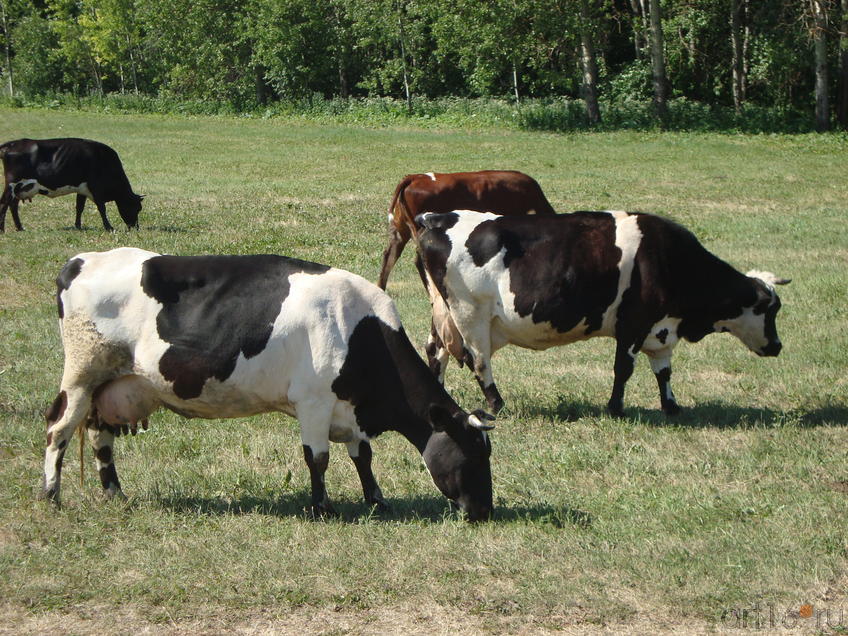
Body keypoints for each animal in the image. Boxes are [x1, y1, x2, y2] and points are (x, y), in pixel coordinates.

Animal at [0, 138, 142, 232]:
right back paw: (2, 230)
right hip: (12, 184)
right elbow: (102, 208)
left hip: (20, 188)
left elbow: (79, 207)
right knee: (4, 203)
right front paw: (109, 227)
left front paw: (78, 226)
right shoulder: (96, 188)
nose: (136, 227)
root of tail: (13, 144)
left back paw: (20, 228)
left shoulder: (82, 189)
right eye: (137, 208)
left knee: (13, 205)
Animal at [44, 248, 496, 520]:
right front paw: (322, 508)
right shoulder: (313, 402)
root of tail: (81, 261)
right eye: (472, 454)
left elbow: (362, 456)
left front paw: (376, 500)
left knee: (101, 436)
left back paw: (114, 493)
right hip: (82, 373)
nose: (484, 511)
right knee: (57, 429)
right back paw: (50, 495)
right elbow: (318, 458)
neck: (359, 330)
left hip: (112, 385)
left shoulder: (349, 408)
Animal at [416, 210, 788, 418]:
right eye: (768, 309)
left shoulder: (661, 328)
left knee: (435, 353)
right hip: (470, 316)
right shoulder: (634, 324)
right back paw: (497, 404)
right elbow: (623, 369)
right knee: (480, 362)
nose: (777, 346)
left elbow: (664, 371)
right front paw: (616, 408)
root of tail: (435, 219)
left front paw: (671, 406)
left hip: (445, 318)